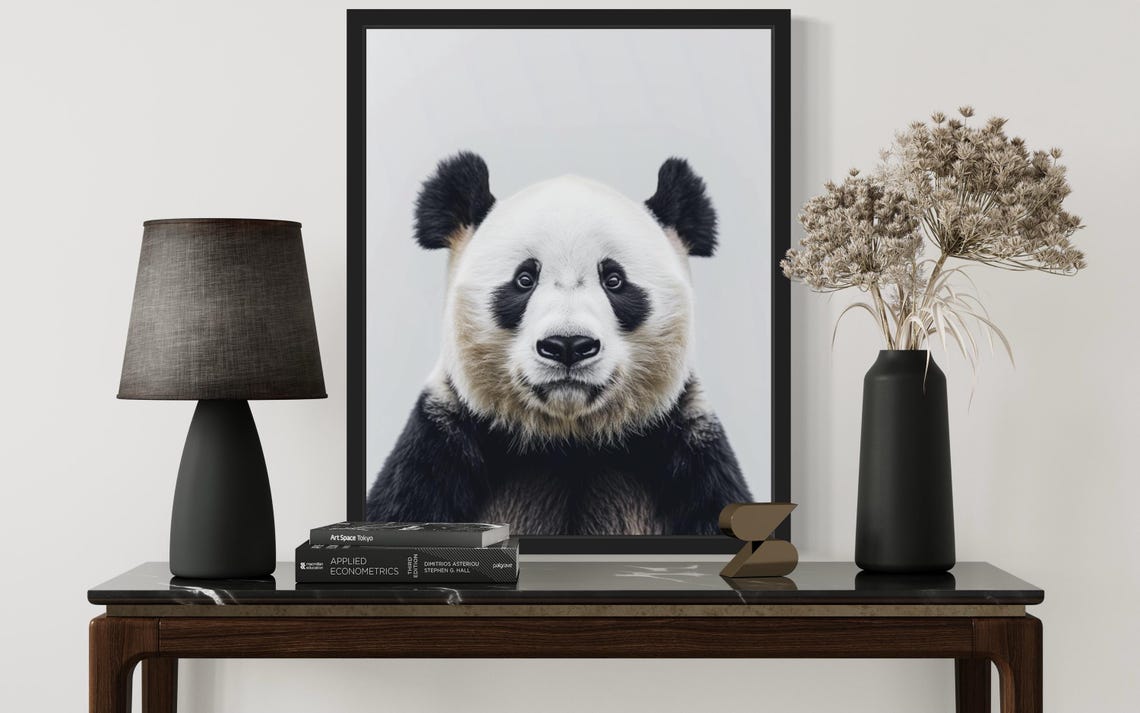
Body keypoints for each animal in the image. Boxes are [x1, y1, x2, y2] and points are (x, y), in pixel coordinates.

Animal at [366, 152, 752, 535]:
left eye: (614, 280)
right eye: (524, 279)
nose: (568, 346)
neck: (567, 442)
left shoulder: (687, 448)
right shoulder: (441, 445)